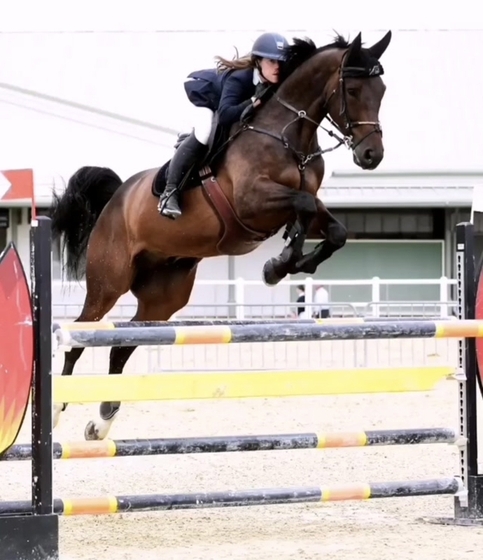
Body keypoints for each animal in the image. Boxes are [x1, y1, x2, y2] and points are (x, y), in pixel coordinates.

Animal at [50, 31, 394, 442]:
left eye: (382, 90)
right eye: (354, 89)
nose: (372, 155)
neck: (288, 135)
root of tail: (115, 200)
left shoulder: (301, 210)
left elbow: (333, 229)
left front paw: (285, 263)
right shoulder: (251, 202)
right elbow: (304, 204)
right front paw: (279, 264)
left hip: (163, 298)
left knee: (122, 346)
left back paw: (102, 422)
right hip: (108, 282)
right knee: (79, 337)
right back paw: (56, 410)